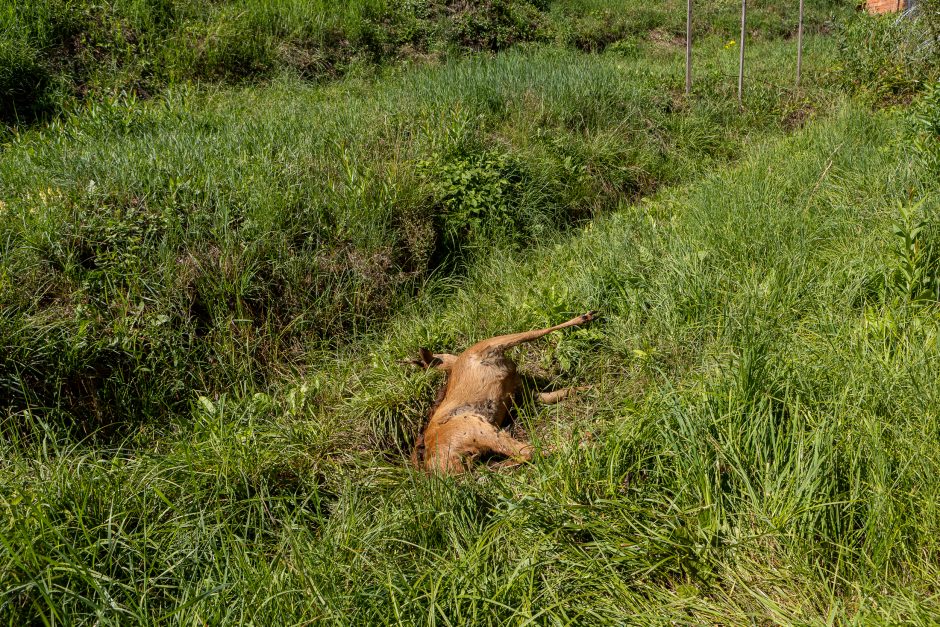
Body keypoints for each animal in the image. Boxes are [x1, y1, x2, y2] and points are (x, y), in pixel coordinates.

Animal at [404, 312, 596, 478]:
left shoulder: (523, 394)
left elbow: (561, 392)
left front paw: (590, 387)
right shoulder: (494, 344)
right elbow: (535, 332)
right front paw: (586, 316)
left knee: (521, 454)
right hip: (478, 428)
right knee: (528, 450)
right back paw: (584, 439)